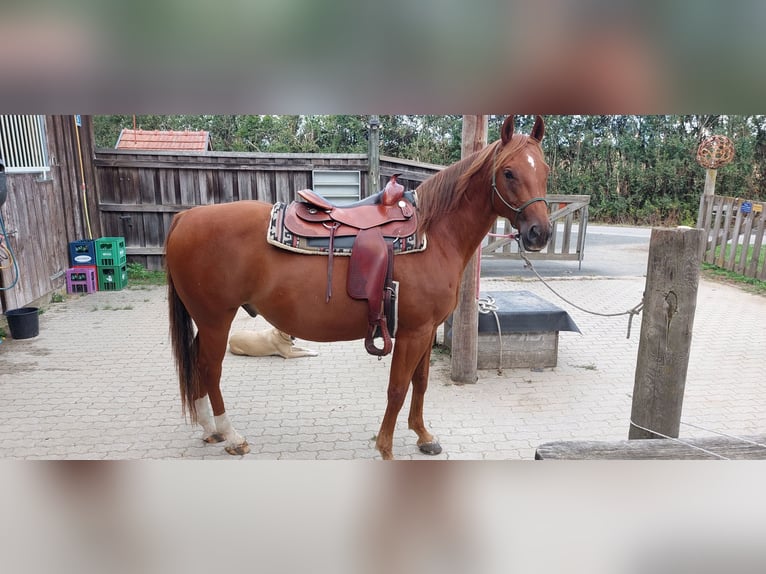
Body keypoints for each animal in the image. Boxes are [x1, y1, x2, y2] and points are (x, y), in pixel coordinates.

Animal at [165, 115, 552, 460]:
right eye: (508, 172)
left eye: (546, 171)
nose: (540, 233)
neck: (434, 234)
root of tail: (186, 217)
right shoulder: (412, 332)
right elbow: (397, 388)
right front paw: (386, 448)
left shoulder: (427, 330)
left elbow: (421, 382)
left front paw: (423, 436)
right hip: (216, 320)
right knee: (210, 369)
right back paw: (231, 435)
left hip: (207, 322)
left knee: (198, 367)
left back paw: (210, 430)